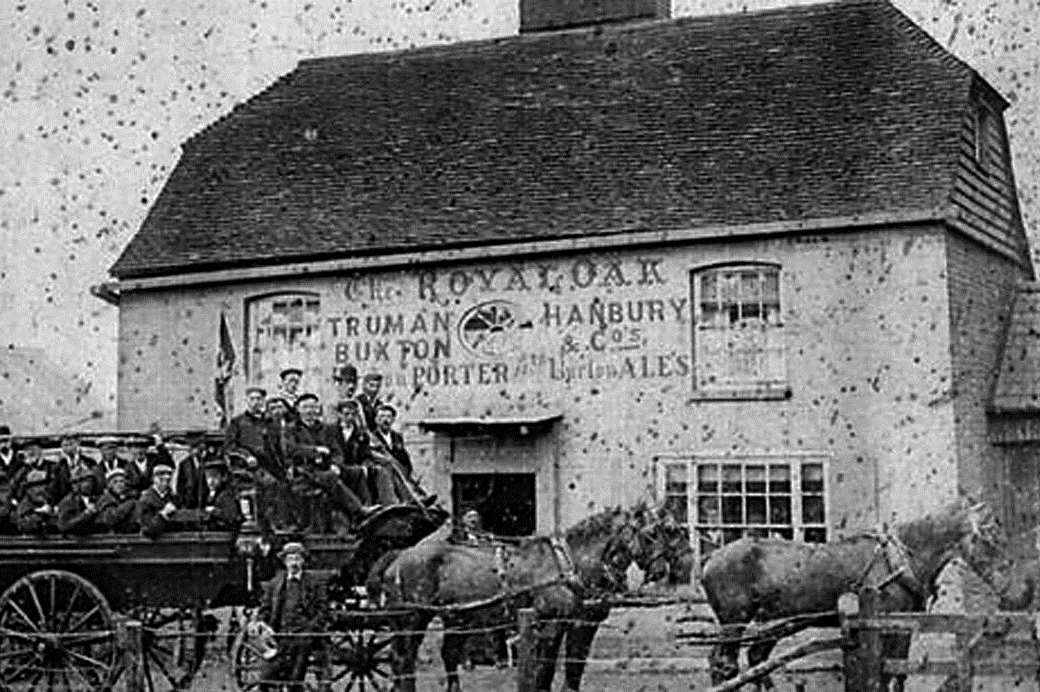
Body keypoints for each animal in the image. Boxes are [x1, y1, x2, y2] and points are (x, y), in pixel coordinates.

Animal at [372, 501, 690, 690]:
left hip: (459, 619)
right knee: (402, 660)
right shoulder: (550, 625)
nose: (665, 570)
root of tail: (399, 555)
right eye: (653, 533)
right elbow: (544, 671)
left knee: (444, 655)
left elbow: (574, 668)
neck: (571, 563)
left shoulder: (582, 625)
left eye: (670, 530)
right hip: (411, 619)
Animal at [703, 499, 1002, 686]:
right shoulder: (887, 624)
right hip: (734, 621)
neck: (899, 559)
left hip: (770, 623)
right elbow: (886, 672)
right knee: (725, 664)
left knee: (753, 660)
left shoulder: (905, 625)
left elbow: (899, 672)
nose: (1005, 585)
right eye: (989, 537)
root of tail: (709, 559)